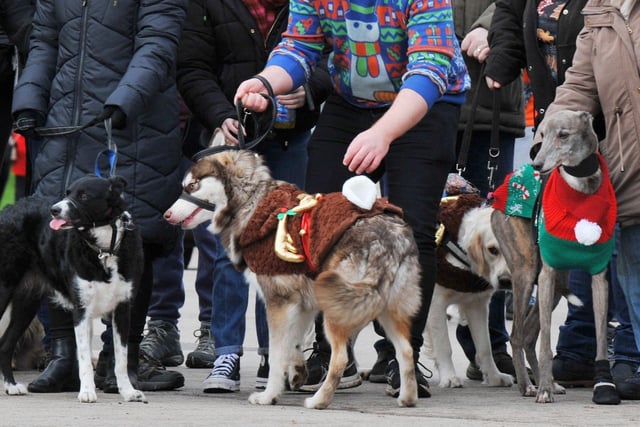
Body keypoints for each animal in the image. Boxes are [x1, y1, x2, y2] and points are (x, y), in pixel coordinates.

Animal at [0, 176, 146, 402]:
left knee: (6, 345)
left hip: (27, 302)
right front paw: (86, 392)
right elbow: (84, 357)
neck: (103, 250)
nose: (54, 210)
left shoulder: (123, 308)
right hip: (5, 288)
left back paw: (11, 386)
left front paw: (128, 391)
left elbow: (121, 357)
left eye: (83, 196)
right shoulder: (81, 310)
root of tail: (8, 208)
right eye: (67, 192)